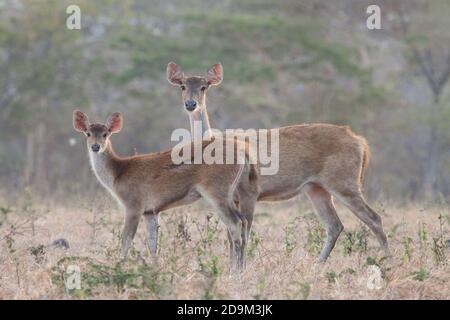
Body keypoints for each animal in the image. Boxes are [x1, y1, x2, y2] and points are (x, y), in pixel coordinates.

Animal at [72, 110, 258, 272]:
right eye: (88, 133)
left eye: (106, 133)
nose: (96, 147)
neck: (117, 174)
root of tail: (244, 152)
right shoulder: (150, 211)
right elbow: (153, 245)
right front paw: (155, 270)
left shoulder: (133, 205)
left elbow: (126, 240)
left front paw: (119, 267)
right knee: (244, 222)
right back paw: (241, 269)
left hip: (216, 190)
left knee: (236, 223)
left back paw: (235, 272)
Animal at [165, 62, 390, 262]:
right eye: (183, 85)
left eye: (204, 86)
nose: (191, 104)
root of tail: (360, 141)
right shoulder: (233, 198)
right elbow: (231, 237)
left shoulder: (250, 191)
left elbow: (244, 232)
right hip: (315, 187)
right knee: (335, 225)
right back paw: (318, 264)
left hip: (343, 181)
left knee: (374, 218)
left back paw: (388, 264)